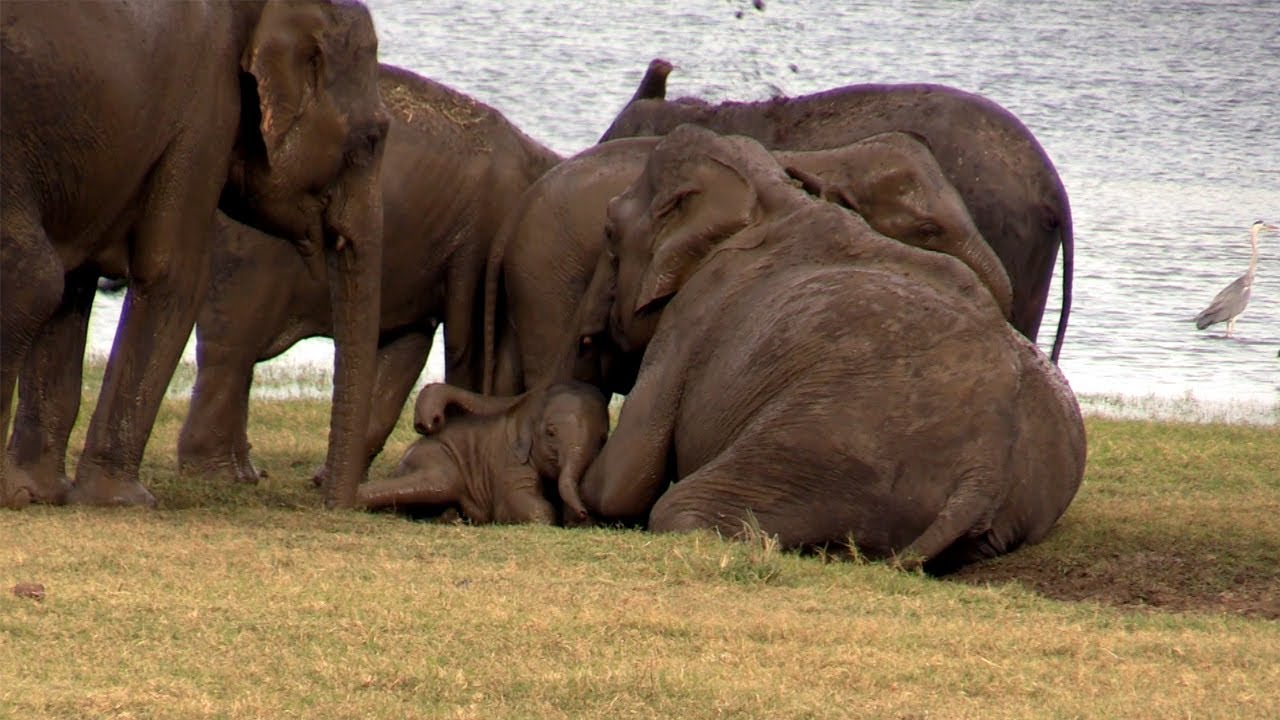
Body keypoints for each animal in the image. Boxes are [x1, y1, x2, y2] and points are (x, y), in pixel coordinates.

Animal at [1, 0, 388, 509]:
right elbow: (174, 271)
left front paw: (37, 492)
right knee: (33, 277)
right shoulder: (207, 107)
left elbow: (77, 279)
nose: (332, 504)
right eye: (375, 137)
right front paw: (124, 501)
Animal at [175, 64, 562, 486]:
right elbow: (462, 352)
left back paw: (246, 474)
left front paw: (326, 482)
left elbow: (404, 349)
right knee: (231, 349)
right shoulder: (476, 252)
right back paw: (218, 478)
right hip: (250, 254)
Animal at [357, 381, 609, 524]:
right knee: (440, 483)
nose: (584, 512)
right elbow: (524, 506)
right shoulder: (508, 461)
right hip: (436, 463)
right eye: (551, 432)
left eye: (603, 439)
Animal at [574, 125, 1086, 573]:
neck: (771, 196)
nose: (588, 332)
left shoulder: (690, 317)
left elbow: (621, 485)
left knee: (681, 512)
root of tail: (983, 474)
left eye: (609, 231)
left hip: (819, 455)